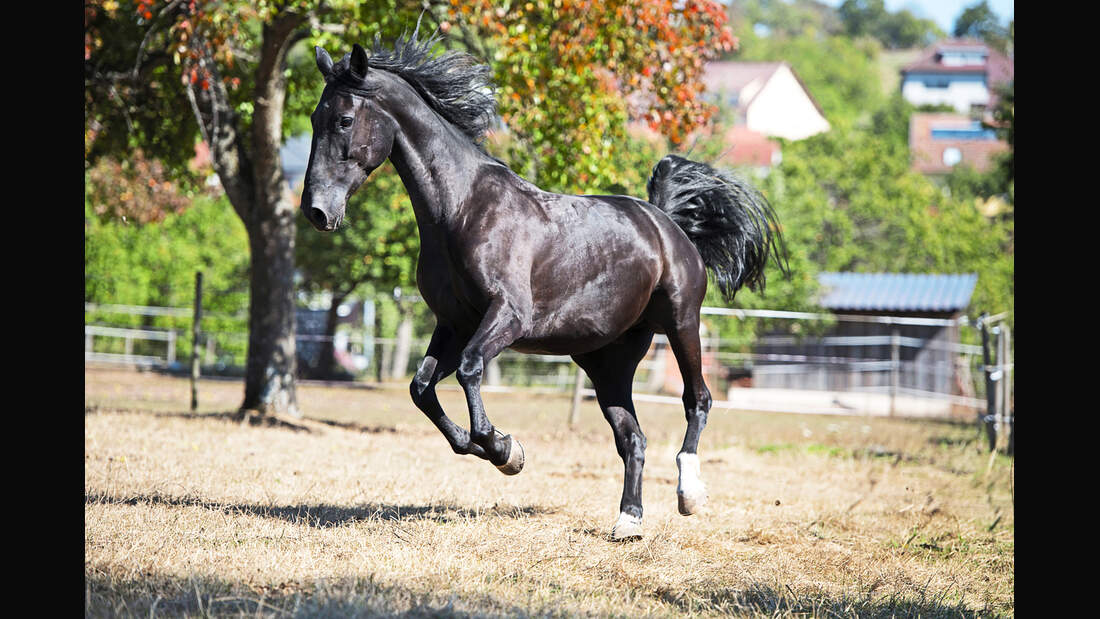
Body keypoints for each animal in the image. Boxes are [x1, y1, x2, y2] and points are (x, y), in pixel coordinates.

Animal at [297, 31, 787, 540]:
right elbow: (421, 388)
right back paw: (628, 520)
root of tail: (666, 222)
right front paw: (500, 449)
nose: (317, 211)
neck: (462, 209)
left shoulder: (508, 317)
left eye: (345, 119)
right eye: (314, 118)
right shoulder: (453, 322)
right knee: (632, 437)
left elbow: (469, 369)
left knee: (698, 400)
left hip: (681, 321)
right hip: (606, 362)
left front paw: (502, 448)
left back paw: (689, 494)